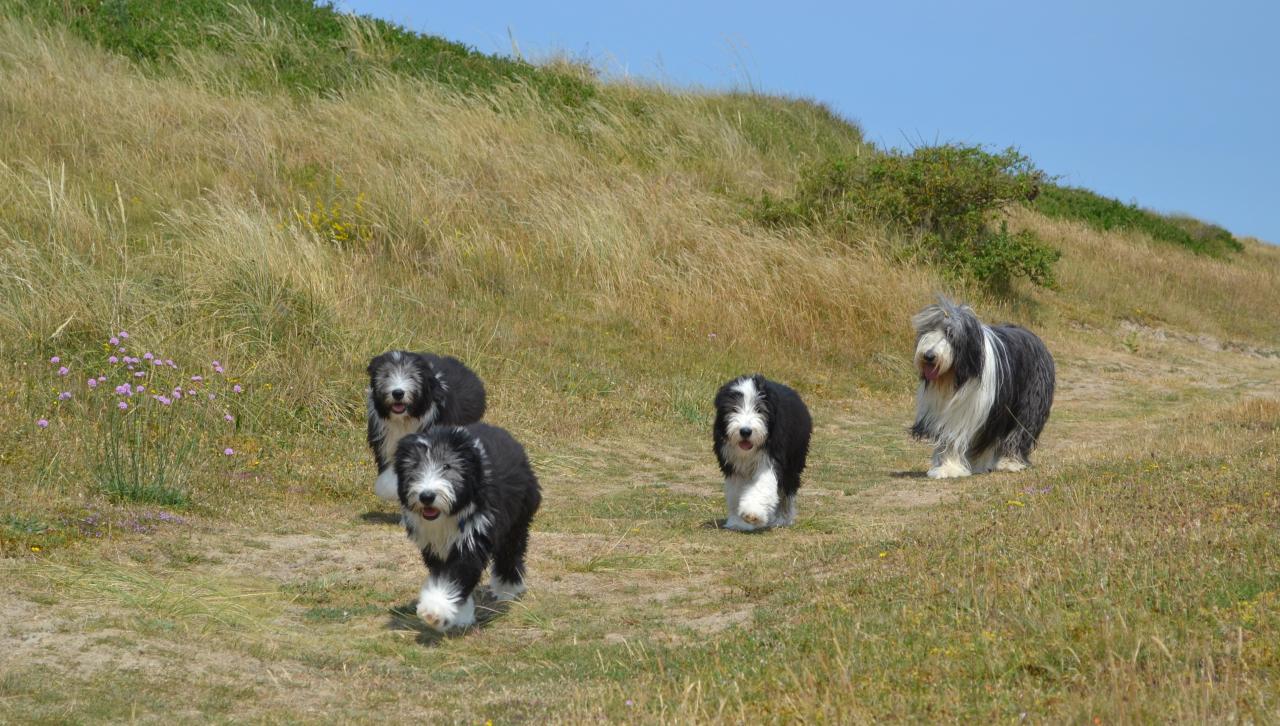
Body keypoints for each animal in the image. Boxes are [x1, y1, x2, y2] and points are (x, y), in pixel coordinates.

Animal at [396, 422, 542, 632]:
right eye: (415, 466)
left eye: (447, 466)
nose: (427, 496)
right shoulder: (433, 547)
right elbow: (446, 577)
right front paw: (459, 614)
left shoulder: (472, 537)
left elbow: (457, 574)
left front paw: (435, 609)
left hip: (518, 518)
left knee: (510, 552)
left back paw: (508, 588)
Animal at [711, 373, 808, 527]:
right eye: (734, 408)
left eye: (759, 409)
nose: (745, 431)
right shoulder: (732, 464)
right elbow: (737, 491)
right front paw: (739, 522)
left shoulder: (771, 458)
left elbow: (763, 483)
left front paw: (753, 512)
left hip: (793, 461)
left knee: (787, 489)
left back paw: (783, 518)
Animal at [911, 298, 1059, 478]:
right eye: (928, 330)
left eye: (950, 334)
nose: (929, 356)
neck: (954, 377)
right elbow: (950, 439)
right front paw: (948, 467)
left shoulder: (979, 410)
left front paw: (953, 468)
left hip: (1029, 401)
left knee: (1019, 430)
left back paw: (1010, 462)